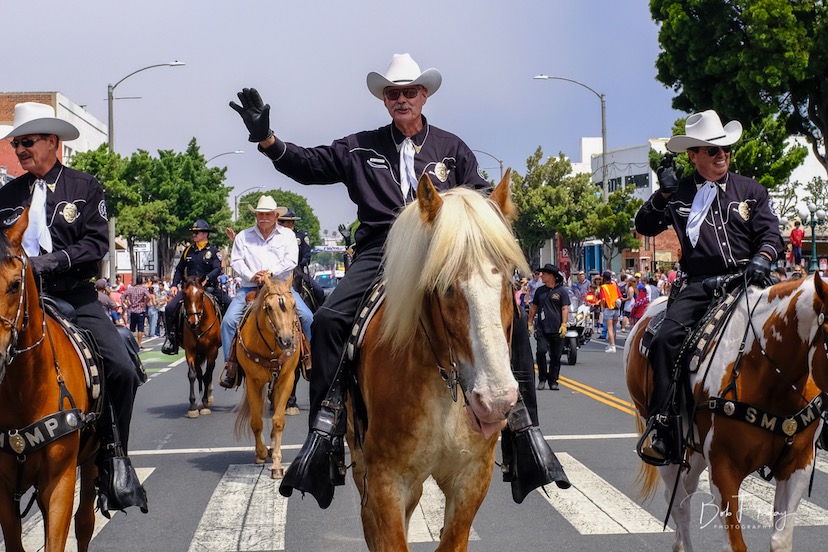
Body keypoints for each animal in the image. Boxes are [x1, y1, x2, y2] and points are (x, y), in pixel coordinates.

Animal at [181, 276, 220, 418]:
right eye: (184, 293)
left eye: (201, 294)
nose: (193, 322)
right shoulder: (190, 352)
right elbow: (192, 375)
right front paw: (193, 405)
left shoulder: (212, 351)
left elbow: (207, 375)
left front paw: (204, 403)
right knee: (199, 374)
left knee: (209, 372)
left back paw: (208, 396)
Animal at [231, 276, 300, 478]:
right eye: (269, 307)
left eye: (294, 305)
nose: (287, 341)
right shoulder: (253, 382)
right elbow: (256, 421)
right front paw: (261, 452)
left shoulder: (286, 381)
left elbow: (278, 420)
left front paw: (276, 462)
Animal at [624, 274, 828, 548]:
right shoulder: (723, 470)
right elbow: (735, 544)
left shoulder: (798, 465)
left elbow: (780, 540)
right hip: (665, 446)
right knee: (678, 504)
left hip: (695, 448)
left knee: (685, 491)